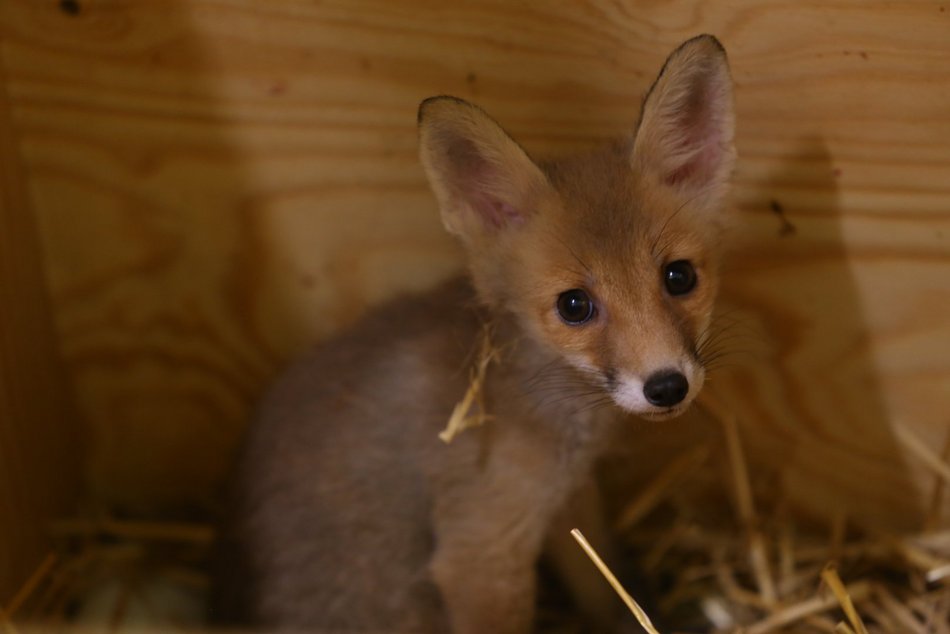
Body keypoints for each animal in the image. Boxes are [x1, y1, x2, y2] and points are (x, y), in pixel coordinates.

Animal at [216, 34, 736, 632]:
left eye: (679, 276)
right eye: (574, 306)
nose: (667, 386)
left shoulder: (565, 503)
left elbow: (610, 589)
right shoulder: (480, 548)